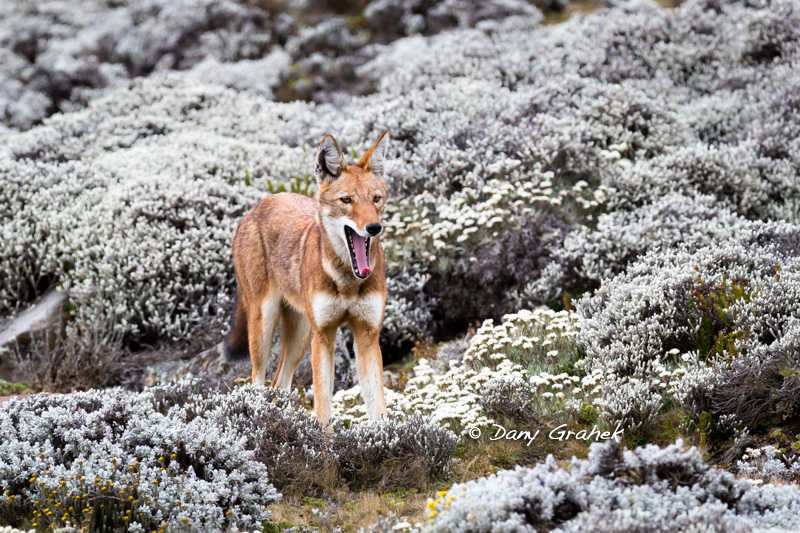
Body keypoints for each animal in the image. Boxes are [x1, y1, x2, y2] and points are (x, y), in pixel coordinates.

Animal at [225, 131, 390, 426]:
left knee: (278, 385)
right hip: (265, 328)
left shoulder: (367, 336)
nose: (374, 227)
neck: (347, 281)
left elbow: (378, 409)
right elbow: (323, 408)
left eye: (376, 199)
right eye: (346, 200)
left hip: (299, 338)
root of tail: (258, 205)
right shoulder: (323, 336)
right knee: (258, 381)